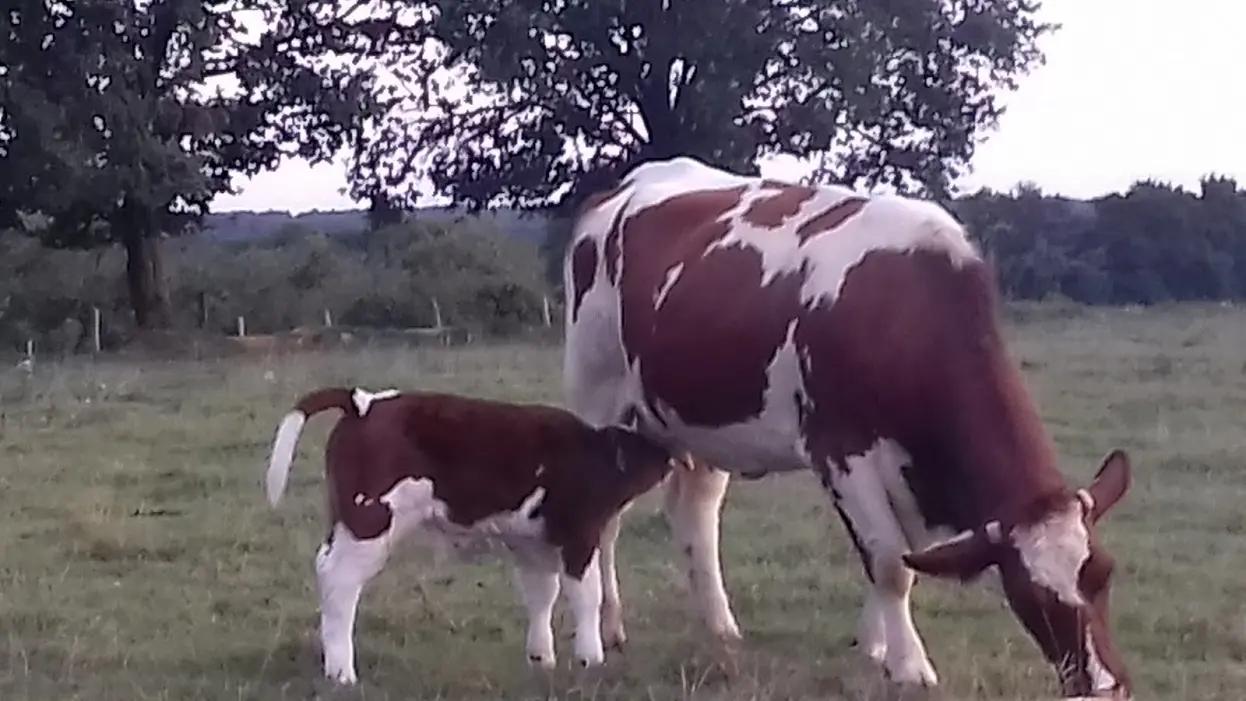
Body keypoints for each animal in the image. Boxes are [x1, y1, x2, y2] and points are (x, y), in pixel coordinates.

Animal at [261, 383, 682, 687]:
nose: (673, 458)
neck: (596, 454)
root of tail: (364, 402)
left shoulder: (533, 542)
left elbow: (541, 595)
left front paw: (541, 658)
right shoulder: (580, 533)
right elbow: (587, 595)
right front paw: (591, 657)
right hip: (370, 521)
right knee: (340, 580)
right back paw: (341, 671)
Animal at [565, 156, 1141, 697]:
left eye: (1105, 572)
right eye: (1032, 596)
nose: (1106, 687)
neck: (905, 311)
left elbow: (895, 557)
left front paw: (877, 647)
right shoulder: (841, 450)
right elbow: (889, 561)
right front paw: (909, 666)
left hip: (702, 422)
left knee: (696, 517)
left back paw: (719, 628)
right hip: (600, 401)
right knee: (601, 515)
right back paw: (606, 631)